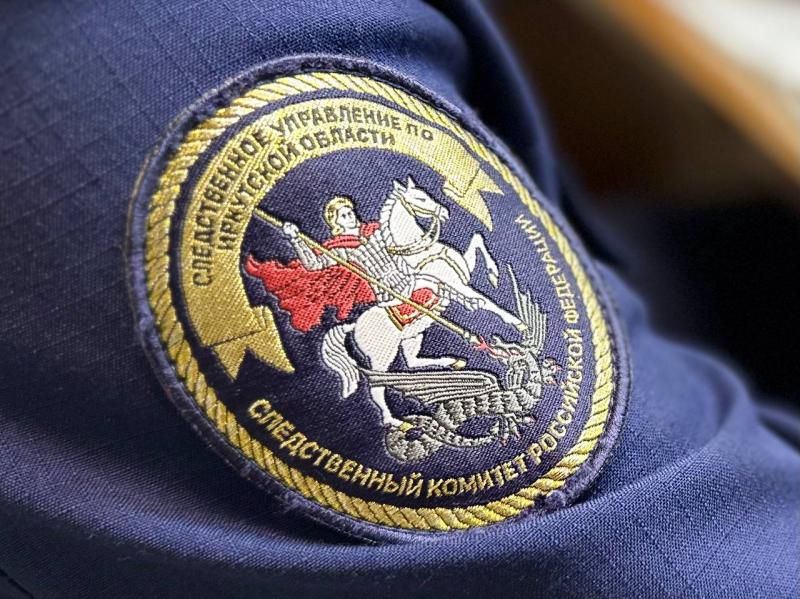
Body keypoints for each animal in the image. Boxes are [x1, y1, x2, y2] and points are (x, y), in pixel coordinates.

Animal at [322, 176, 526, 427]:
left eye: (426, 194)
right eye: (419, 198)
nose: (444, 210)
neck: (422, 252)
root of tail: (353, 325)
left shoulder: (463, 273)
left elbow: (478, 240)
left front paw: (493, 273)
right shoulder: (456, 284)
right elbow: (486, 301)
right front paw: (515, 321)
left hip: (413, 335)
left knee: (411, 362)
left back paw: (453, 362)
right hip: (382, 355)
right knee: (377, 386)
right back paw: (395, 420)